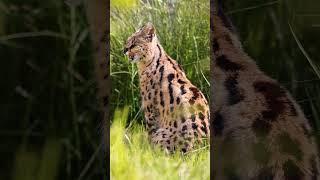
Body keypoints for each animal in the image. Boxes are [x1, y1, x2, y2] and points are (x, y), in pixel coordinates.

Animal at [123, 21, 210, 153]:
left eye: (133, 44)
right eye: (127, 42)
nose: (124, 50)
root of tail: (199, 149)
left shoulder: (150, 109)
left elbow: (150, 132)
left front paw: (145, 151)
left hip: (161, 135)